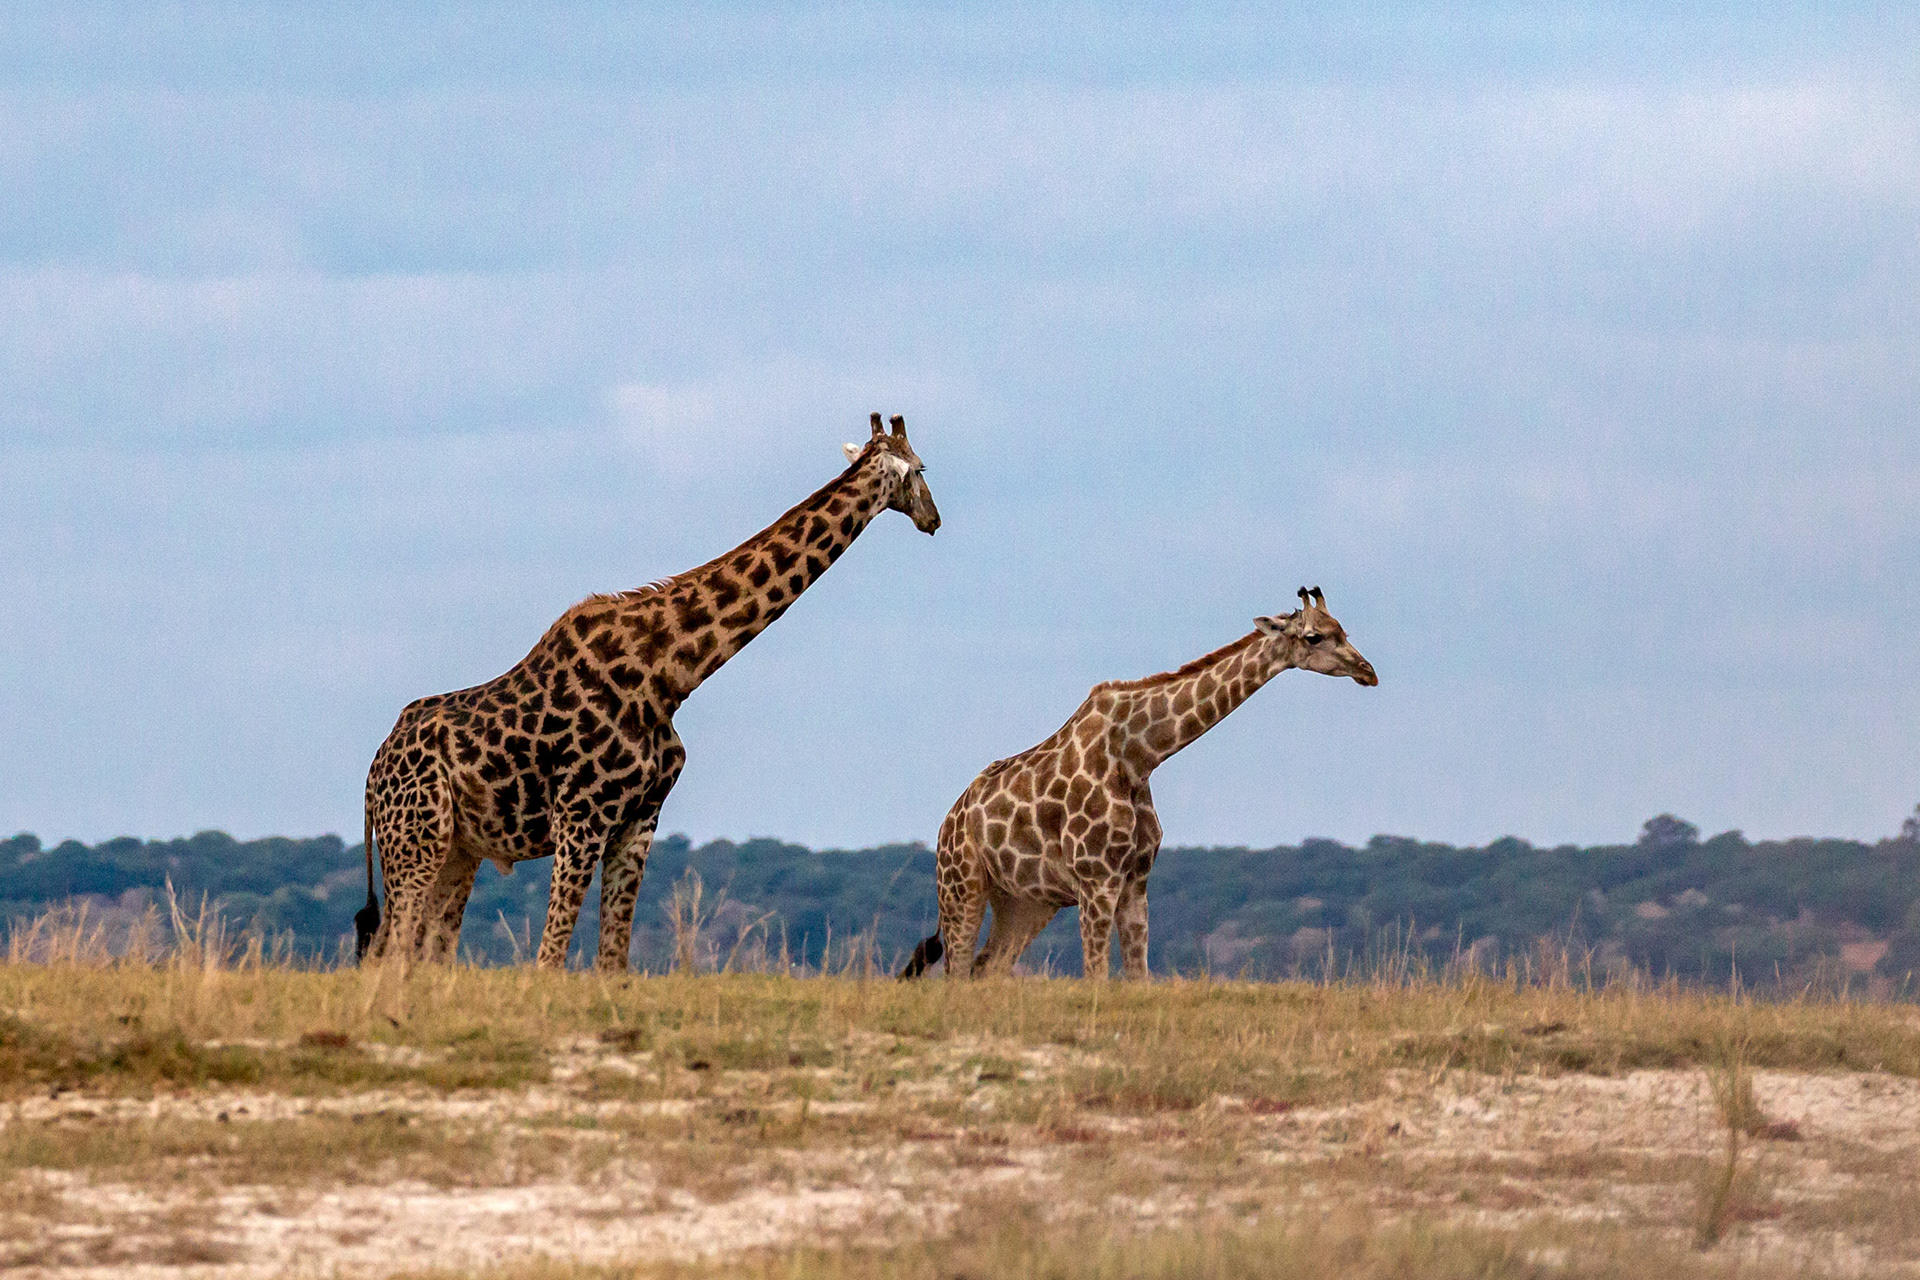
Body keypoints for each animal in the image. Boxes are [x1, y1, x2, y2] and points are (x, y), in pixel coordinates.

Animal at [360, 414, 940, 969]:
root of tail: (372, 775)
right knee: (391, 948)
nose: (934, 520)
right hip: (416, 842)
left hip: (458, 850)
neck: (666, 676)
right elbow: (549, 957)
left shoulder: (639, 820)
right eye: (921, 469)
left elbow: (612, 959)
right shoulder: (581, 818)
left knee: (423, 951)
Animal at [899, 588, 1376, 982]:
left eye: (1344, 630)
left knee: (986, 968)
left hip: (1025, 902)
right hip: (962, 887)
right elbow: (1097, 976)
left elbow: (1137, 978)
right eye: (1313, 637)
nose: (1367, 671)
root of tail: (948, 823)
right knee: (958, 971)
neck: (1138, 756)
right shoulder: (1097, 880)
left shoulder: (1135, 881)